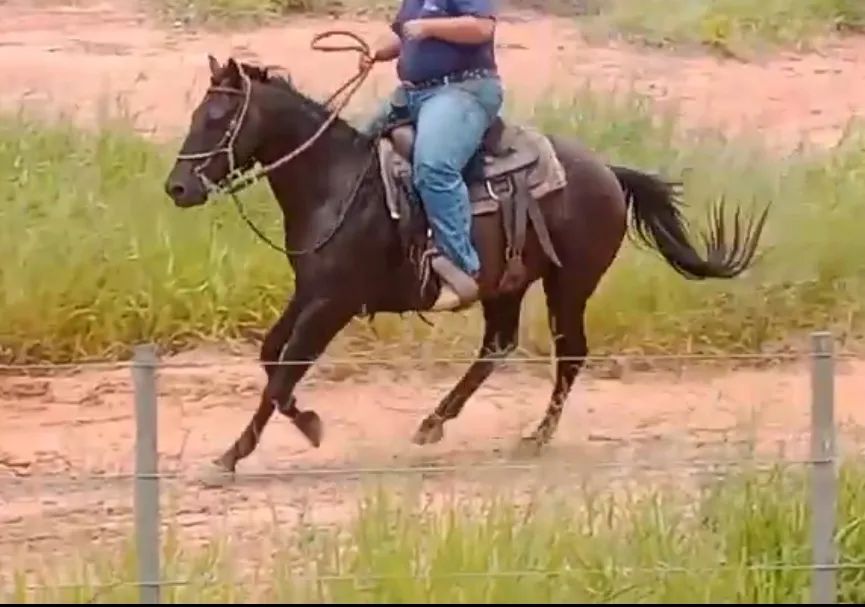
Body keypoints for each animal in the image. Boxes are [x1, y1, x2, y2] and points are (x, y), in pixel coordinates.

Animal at [163, 48, 768, 476]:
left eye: (217, 117)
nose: (177, 188)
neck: (337, 183)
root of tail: (607, 171)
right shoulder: (310, 290)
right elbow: (272, 358)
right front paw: (303, 425)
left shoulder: (333, 302)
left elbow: (286, 369)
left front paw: (237, 452)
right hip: (507, 284)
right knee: (497, 347)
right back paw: (434, 423)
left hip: (569, 285)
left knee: (570, 355)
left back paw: (534, 437)